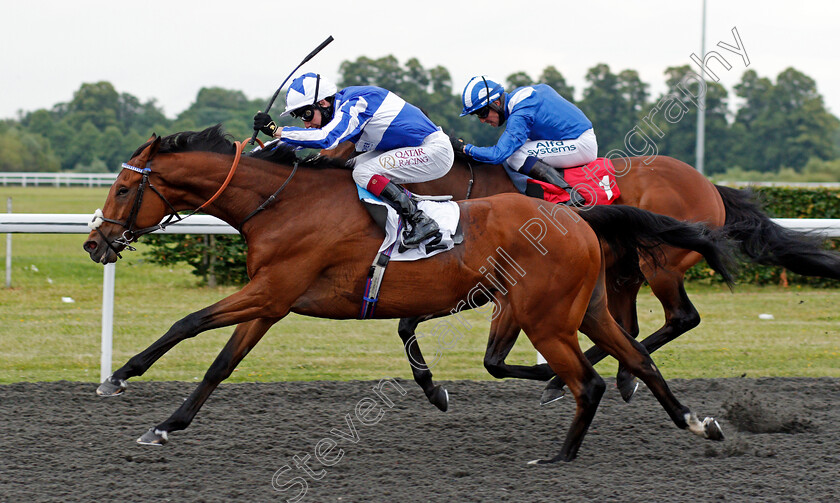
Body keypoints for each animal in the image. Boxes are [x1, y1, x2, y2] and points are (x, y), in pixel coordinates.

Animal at [82, 124, 732, 462]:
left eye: (122, 189)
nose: (95, 243)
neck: (283, 203)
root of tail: (577, 214)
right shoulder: (270, 301)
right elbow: (220, 363)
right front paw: (166, 422)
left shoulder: (269, 293)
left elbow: (190, 325)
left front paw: (122, 379)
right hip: (588, 309)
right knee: (639, 358)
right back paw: (697, 423)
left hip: (547, 316)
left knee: (590, 379)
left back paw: (560, 452)